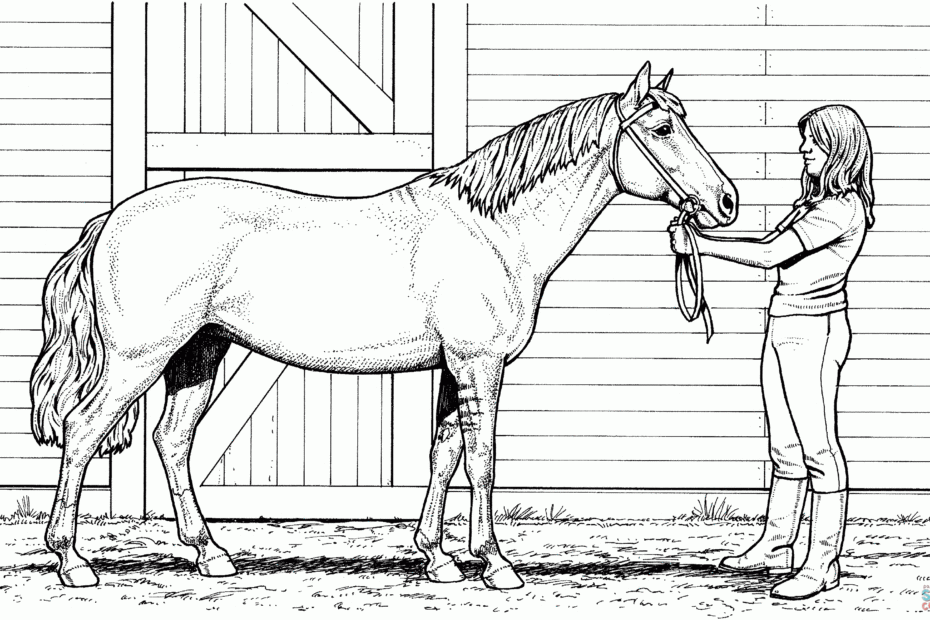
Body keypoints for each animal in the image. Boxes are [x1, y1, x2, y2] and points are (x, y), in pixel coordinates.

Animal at [30, 61, 737, 590]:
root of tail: (112, 219)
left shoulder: (454, 368)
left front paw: (439, 558)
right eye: (663, 127)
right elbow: (482, 459)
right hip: (138, 358)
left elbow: (444, 454)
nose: (726, 201)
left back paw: (211, 556)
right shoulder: (480, 364)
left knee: (173, 441)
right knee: (84, 430)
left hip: (198, 354)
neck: (493, 230)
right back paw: (73, 561)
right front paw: (497, 565)